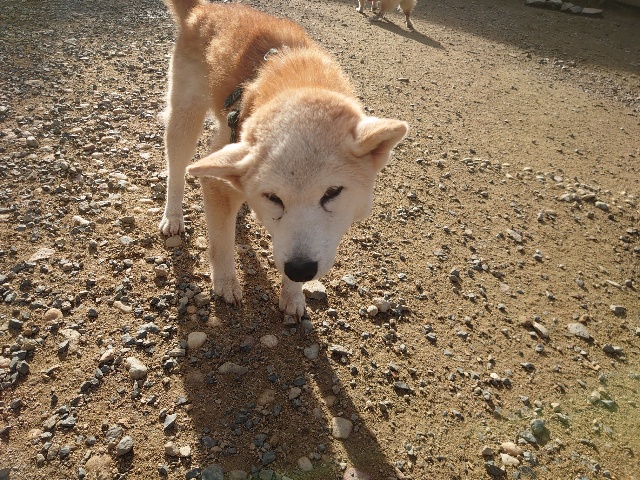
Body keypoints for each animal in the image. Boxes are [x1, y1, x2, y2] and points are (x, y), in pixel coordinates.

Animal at [160, 0, 408, 318]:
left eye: (332, 192)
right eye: (273, 197)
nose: (300, 270)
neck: (300, 83)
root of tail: (205, 8)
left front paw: (293, 295)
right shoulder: (217, 182)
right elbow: (221, 245)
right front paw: (226, 284)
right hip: (186, 116)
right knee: (176, 169)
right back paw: (173, 216)